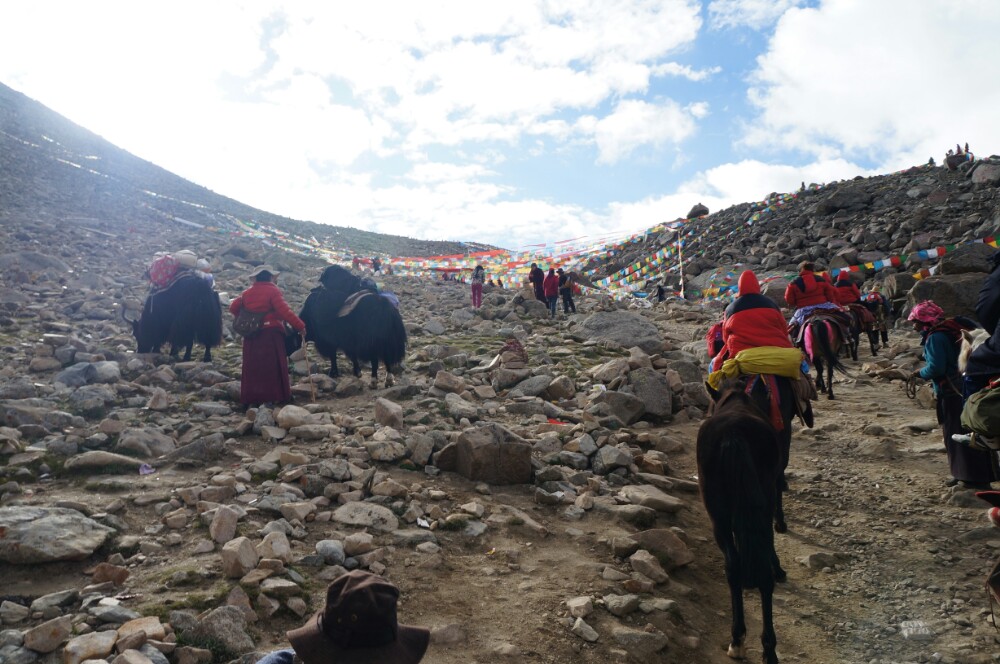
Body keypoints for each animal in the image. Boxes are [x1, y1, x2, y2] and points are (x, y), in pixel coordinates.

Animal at [700, 384, 784, 664]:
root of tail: (734, 433)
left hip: (719, 514)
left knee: (735, 565)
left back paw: (745, 642)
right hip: (755, 503)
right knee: (750, 568)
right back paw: (757, 646)